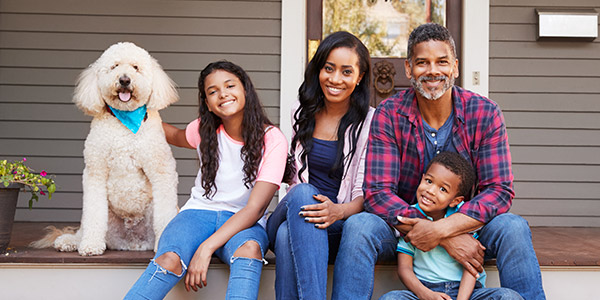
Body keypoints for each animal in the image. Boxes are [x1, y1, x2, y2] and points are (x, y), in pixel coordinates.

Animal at [33, 42, 178, 255]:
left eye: (135, 67)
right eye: (114, 66)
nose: (124, 80)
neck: (125, 122)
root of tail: (132, 242)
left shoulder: (161, 171)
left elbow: (166, 216)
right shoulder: (95, 172)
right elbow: (93, 214)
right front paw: (91, 245)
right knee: (85, 225)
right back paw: (71, 241)